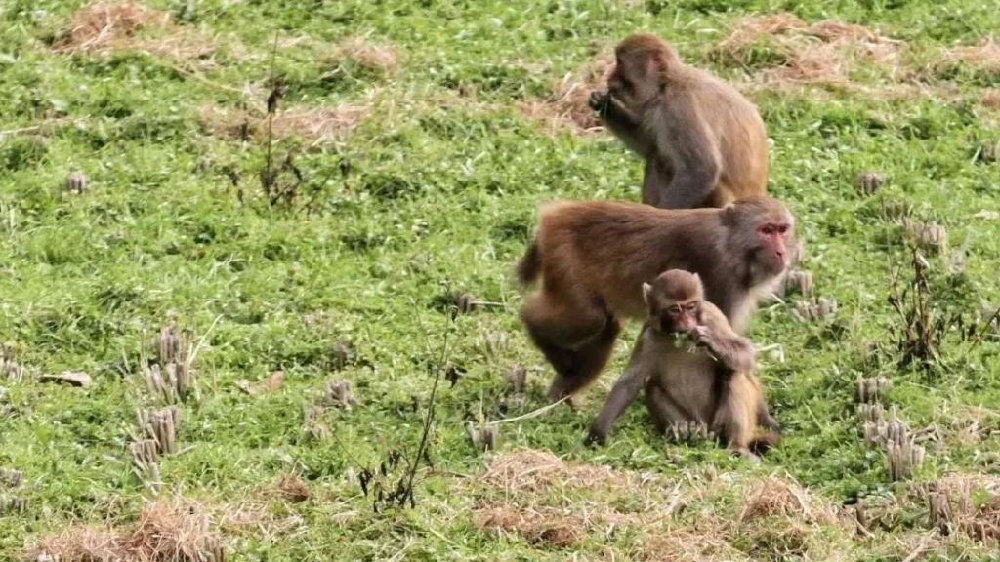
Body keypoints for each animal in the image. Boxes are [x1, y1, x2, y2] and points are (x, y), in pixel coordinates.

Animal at [516, 195, 796, 400]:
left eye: (782, 230)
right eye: (766, 230)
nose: (782, 252)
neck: (730, 244)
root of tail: (553, 215)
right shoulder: (721, 277)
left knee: (606, 325)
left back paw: (562, 392)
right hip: (564, 256)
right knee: (588, 319)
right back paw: (533, 324)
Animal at [584, 266, 780, 456]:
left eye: (691, 306)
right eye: (675, 309)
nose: (687, 322)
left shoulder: (713, 316)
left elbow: (745, 353)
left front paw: (709, 340)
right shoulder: (649, 333)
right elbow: (630, 383)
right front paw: (598, 433)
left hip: (717, 422)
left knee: (734, 373)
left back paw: (737, 446)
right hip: (694, 421)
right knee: (653, 386)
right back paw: (684, 432)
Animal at [588, 32, 768, 209]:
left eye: (620, 64)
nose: (609, 77)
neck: (666, 84)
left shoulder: (679, 106)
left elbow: (702, 169)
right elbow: (647, 144)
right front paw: (603, 103)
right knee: (657, 156)